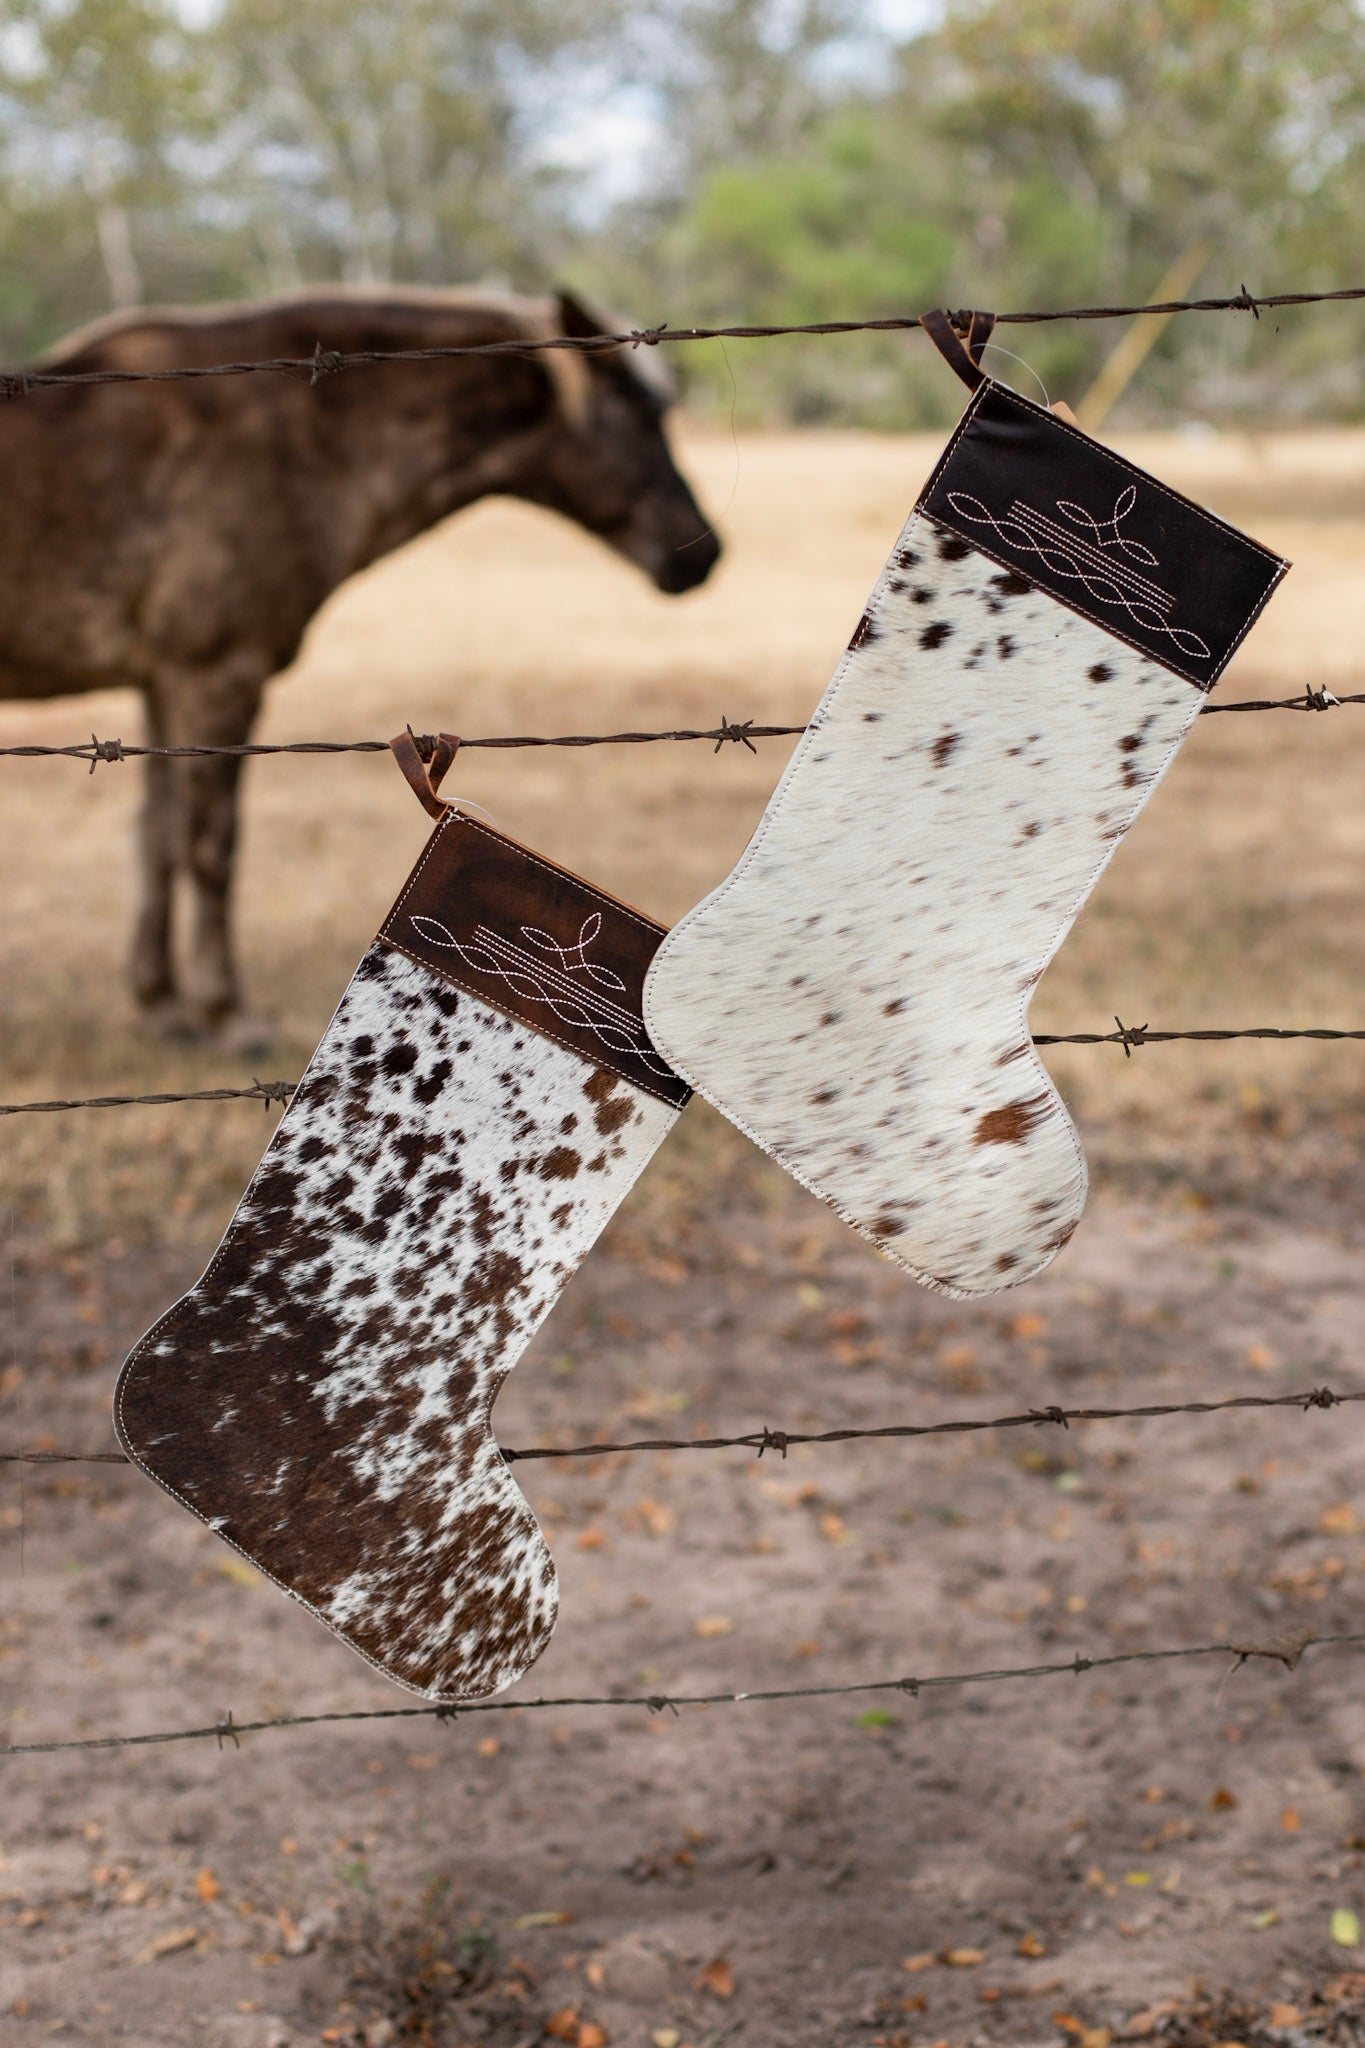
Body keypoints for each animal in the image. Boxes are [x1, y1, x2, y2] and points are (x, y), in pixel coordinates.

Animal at [0, 286, 724, 1040]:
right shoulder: (215, 676)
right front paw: (227, 1014)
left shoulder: (162, 684)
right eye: (638, 412)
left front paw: (163, 1003)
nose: (701, 552)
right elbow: (210, 846)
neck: (289, 439)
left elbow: (157, 839)